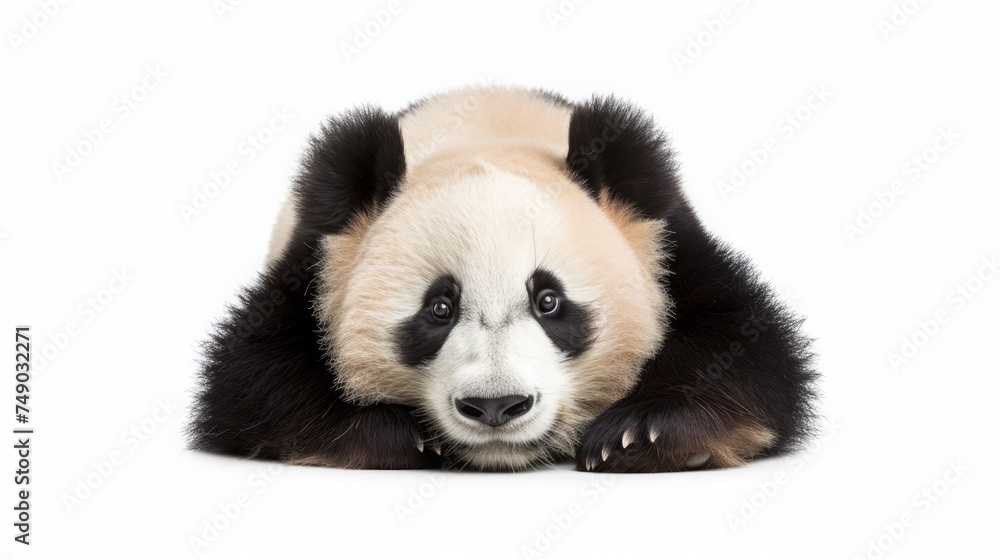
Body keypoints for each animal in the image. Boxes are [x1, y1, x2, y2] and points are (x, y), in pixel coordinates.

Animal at [189, 86, 817, 473]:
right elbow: (250, 379)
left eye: (549, 301)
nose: (496, 406)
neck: (487, 125)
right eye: (438, 309)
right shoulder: (317, 263)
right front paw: (399, 434)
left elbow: (749, 348)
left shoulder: (665, 244)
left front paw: (644, 434)